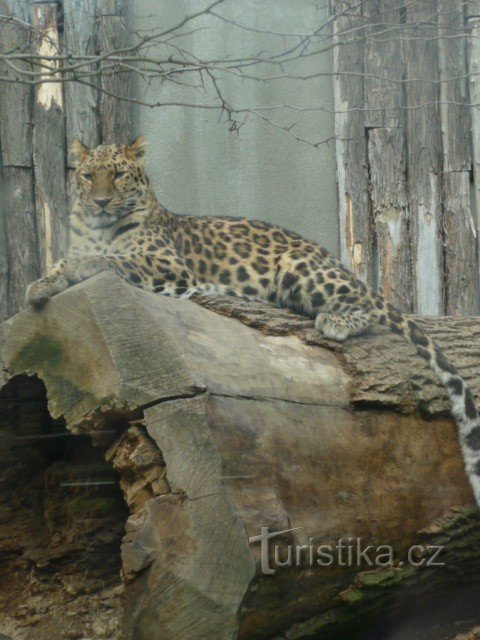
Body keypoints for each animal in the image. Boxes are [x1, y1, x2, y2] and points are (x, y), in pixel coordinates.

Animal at [25, 136, 480, 510]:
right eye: (88, 176)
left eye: (118, 175)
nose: (101, 202)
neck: (101, 227)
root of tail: (337, 262)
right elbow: (65, 262)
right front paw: (40, 285)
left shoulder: (167, 264)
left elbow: (108, 259)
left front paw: (77, 267)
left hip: (301, 267)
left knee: (367, 307)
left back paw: (336, 319)